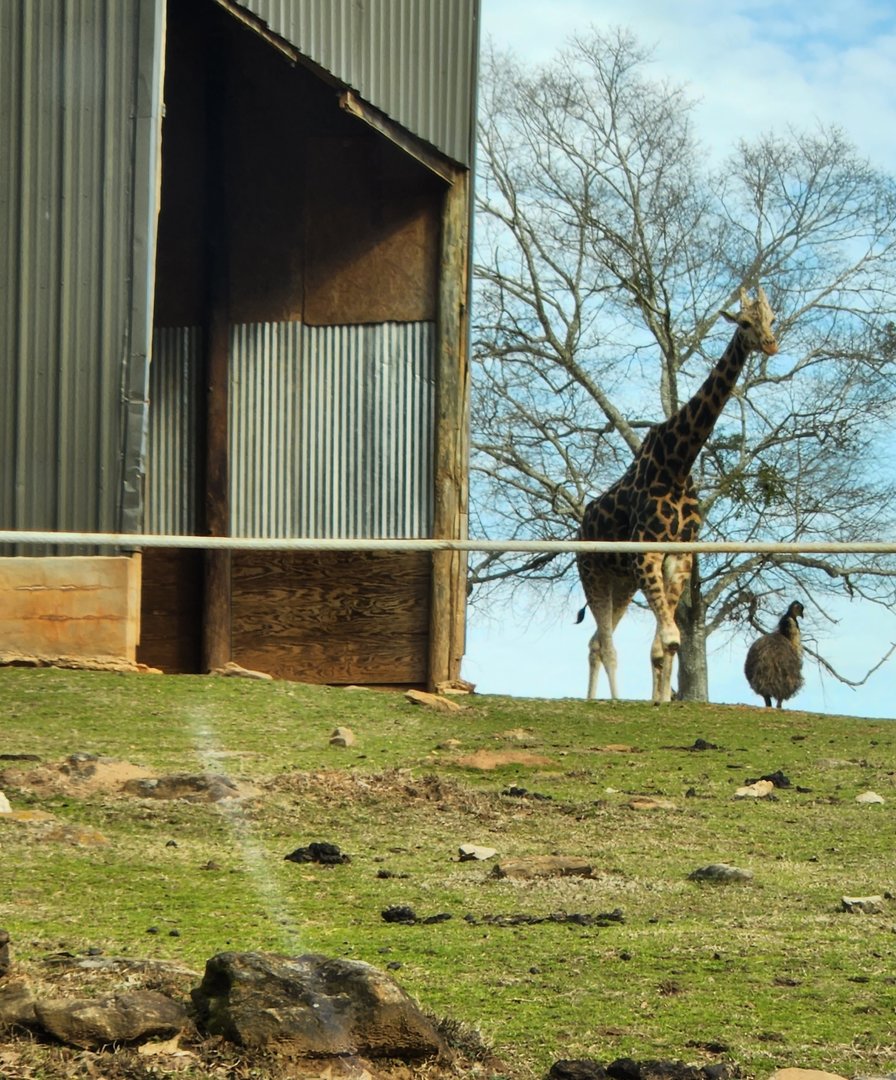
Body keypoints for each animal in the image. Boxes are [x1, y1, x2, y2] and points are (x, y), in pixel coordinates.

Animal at [576, 286, 779, 703]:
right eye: (744, 322)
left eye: (772, 318)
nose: (770, 343)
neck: (677, 465)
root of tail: (580, 525)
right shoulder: (647, 552)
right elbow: (669, 639)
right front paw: (657, 701)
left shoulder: (679, 554)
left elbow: (664, 645)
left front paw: (661, 702)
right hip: (593, 574)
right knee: (604, 644)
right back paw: (609, 701)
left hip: (621, 583)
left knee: (596, 641)